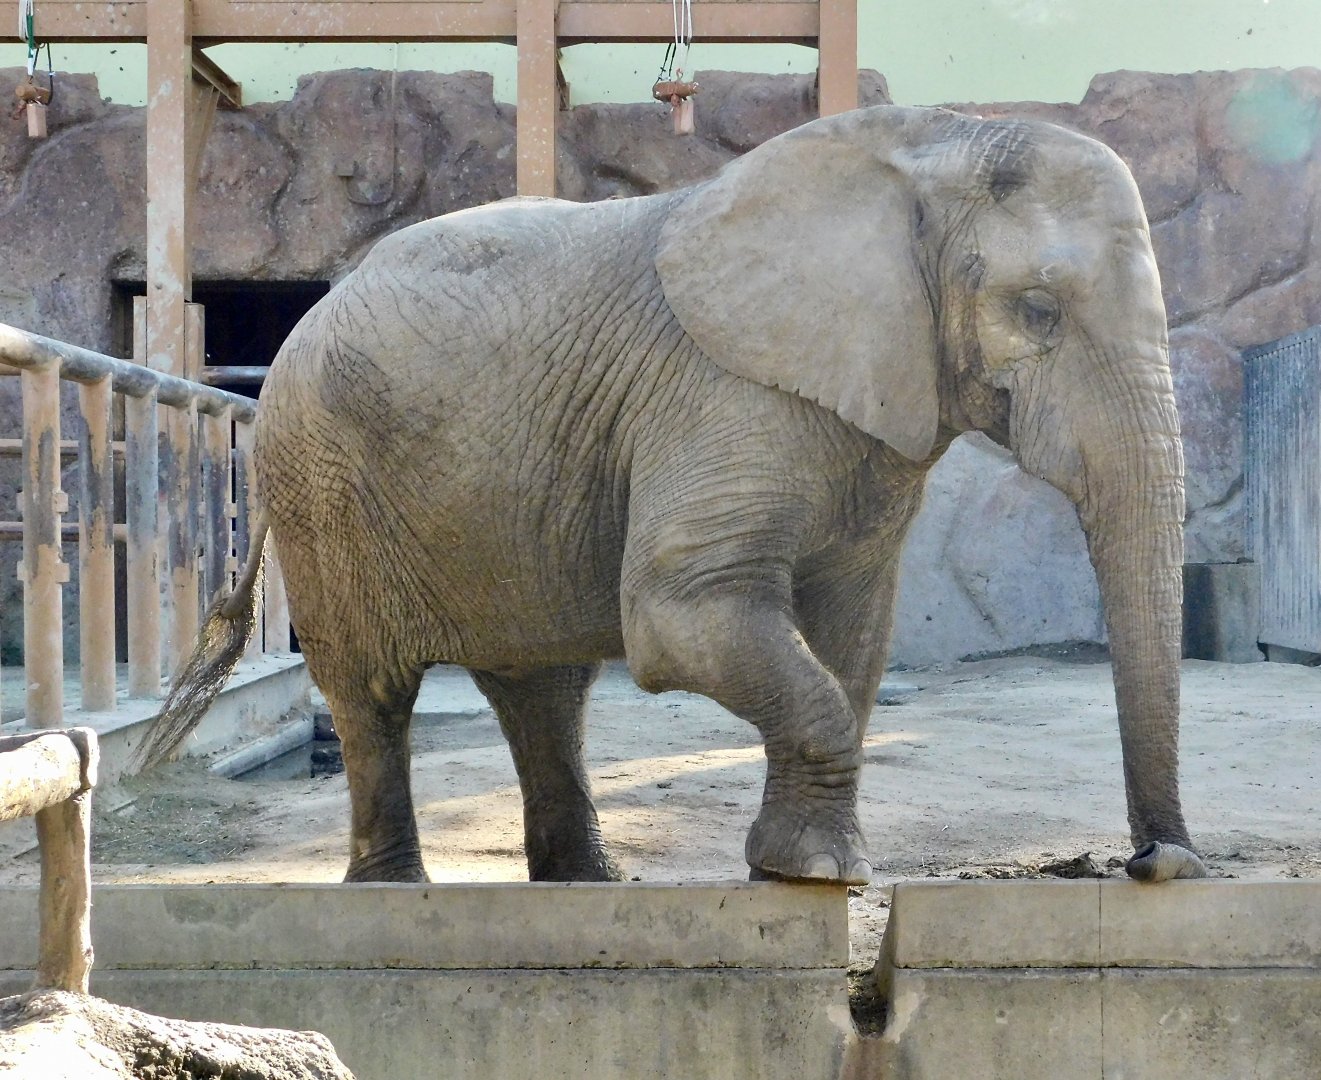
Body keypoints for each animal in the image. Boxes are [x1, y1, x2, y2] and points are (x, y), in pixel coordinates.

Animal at [141, 104, 1207, 886]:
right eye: (1038, 311)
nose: (1157, 863)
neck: (924, 142)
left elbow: (853, 638)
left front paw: (799, 868)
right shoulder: (722, 394)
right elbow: (677, 614)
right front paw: (818, 875)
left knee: (543, 686)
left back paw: (584, 884)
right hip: (321, 475)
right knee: (372, 689)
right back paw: (399, 891)